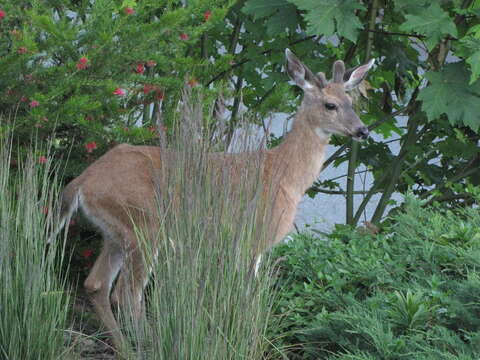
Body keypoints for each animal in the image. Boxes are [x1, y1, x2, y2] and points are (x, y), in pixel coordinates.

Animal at [51, 49, 376, 350]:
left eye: (352, 102)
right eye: (330, 104)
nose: (362, 130)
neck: (284, 177)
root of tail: (81, 182)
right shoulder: (252, 238)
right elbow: (247, 297)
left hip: (115, 233)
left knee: (96, 284)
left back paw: (124, 348)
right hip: (144, 226)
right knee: (126, 293)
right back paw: (148, 345)